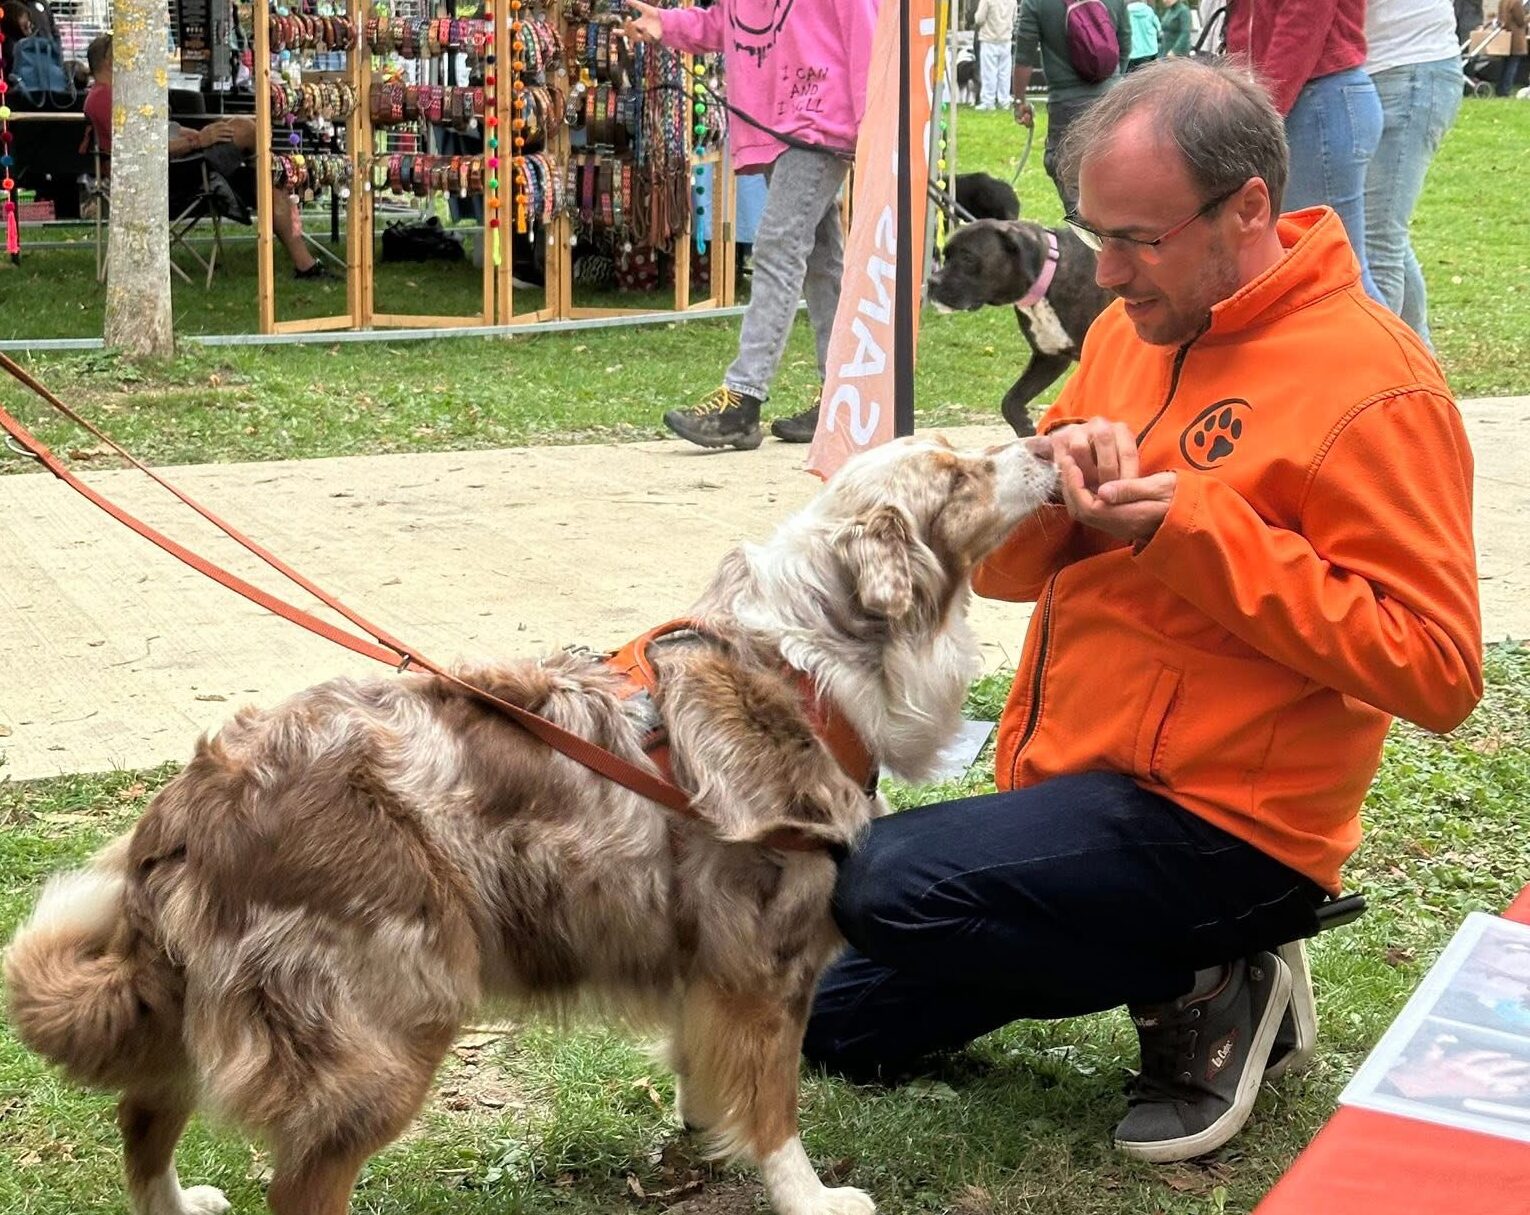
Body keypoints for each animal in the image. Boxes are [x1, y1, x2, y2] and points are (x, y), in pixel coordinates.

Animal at [5, 436, 1057, 1215]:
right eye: (959, 473)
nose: (1047, 443)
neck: (811, 656)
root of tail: (193, 799)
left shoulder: (704, 957)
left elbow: (704, 1065)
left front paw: (700, 1130)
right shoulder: (768, 960)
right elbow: (776, 1106)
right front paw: (810, 1196)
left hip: (190, 1012)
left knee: (143, 1120)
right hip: (387, 1021)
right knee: (295, 1180)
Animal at [929, 218, 1112, 438]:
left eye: (967, 257)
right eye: (945, 256)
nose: (931, 282)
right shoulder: (1049, 359)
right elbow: (1010, 401)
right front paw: (1025, 427)